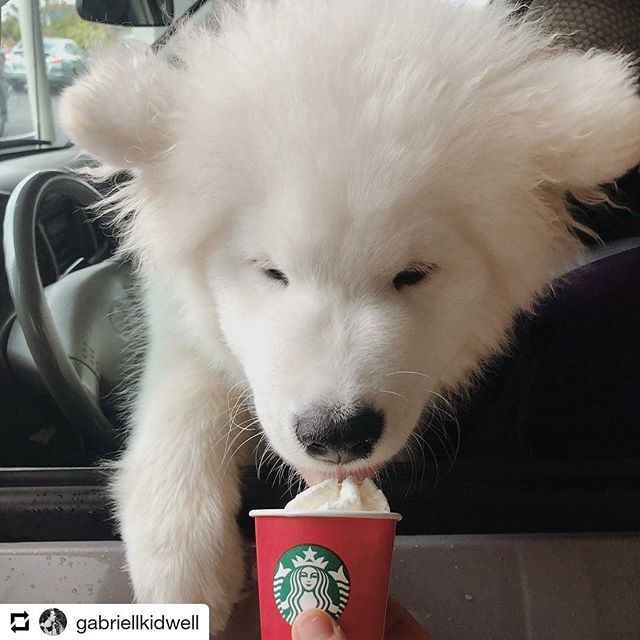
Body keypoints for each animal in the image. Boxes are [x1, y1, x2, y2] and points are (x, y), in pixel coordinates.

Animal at [62, 0, 640, 632]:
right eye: (272, 271)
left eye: (415, 273)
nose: (336, 434)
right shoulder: (180, 321)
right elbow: (186, 394)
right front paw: (181, 562)